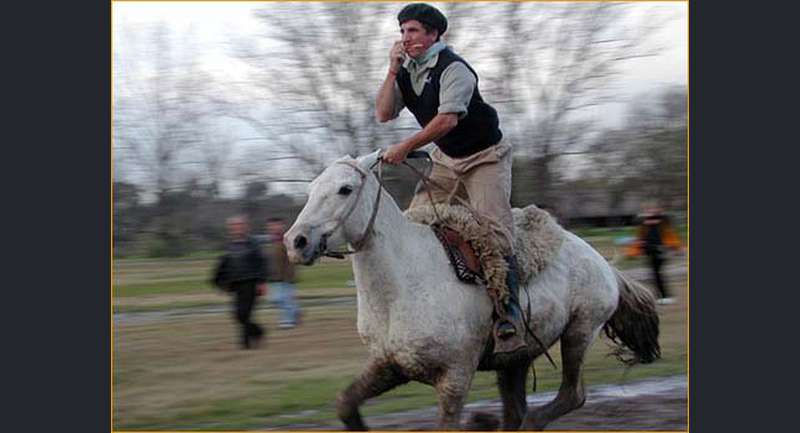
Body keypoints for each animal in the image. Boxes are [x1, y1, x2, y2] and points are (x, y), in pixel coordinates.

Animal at [284, 152, 660, 428]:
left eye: (345, 189)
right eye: (312, 188)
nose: (295, 241)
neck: (401, 287)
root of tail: (602, 263)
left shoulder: (455, 378)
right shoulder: (390, 365)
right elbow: (345, 405)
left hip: (579, 332)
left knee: (569, 396)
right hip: (515, 360)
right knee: (517, 410)